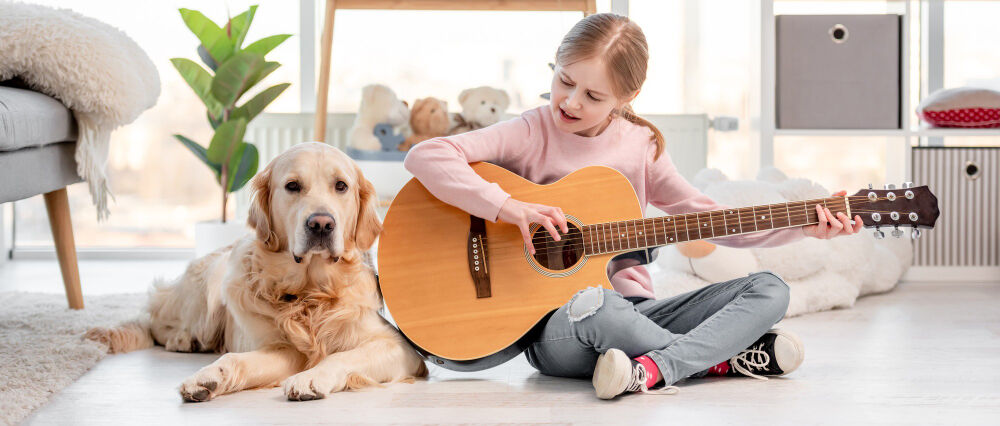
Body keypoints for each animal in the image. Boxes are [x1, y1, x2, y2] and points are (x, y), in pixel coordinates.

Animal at [86, 143, 426, 402]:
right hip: (212, 285)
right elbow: (234, 358)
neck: (309, 293)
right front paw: (206, 376)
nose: (321, 224)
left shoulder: (398, 348)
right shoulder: (279, 346)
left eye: (341, 186)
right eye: (292, 186)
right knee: (156, 322)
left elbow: (341, 355)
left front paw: (311, 378)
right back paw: (183, 339)